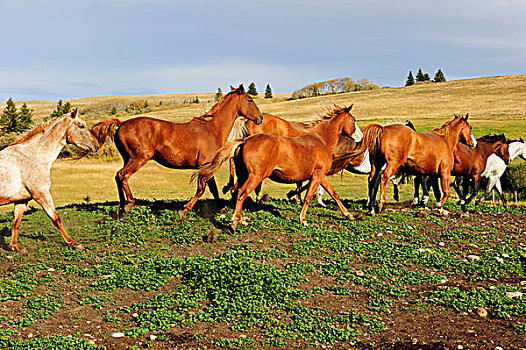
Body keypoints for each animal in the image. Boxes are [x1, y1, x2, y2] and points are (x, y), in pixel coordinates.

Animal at [0, 108, 100, 253]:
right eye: (81, 126)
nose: (96, 146)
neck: (32, 156)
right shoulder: (42, 194)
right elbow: (56, 219)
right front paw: (74, 244)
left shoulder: (22, 200)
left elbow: (16, 222)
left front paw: (16, 247)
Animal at [92, 85, 264, 216]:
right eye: (250, 99)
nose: (260, 118)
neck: (212, 129)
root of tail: (121, 123)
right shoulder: (206, 165)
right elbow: (202, 189)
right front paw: (185, 210)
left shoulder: (207, 166)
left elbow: (213, 189)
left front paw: (221, 208)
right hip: (138, 158)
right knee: (123, 175)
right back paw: (128, 204)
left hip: (128, 159)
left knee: (118, 176)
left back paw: (121, 207)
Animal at [189, 104, 364, 230]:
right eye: (353, 120)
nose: (361, 137)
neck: (321, 140)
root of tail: (245, 141)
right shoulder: (317, 175)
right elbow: (308, 197)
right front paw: (303, 220)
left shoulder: (321, 176)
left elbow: (334, 194)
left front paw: (349, 215)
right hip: (255, 176)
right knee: (241, 194)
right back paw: (234, 223)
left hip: (244, 175)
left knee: (235, 192)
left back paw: (241, 220)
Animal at [346, 114, 478, 213]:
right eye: (470, 128)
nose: (474, 143)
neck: (445, 140)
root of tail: (383, 129)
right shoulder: (444, 172)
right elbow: (445, 192)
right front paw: (437, 205)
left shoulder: (433, 174)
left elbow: (436, 192)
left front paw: (438, 208)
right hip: (392, 164)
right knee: (383, 178)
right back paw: (380, 204)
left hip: (377, 165)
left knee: (372, 180)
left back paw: (371, 207)